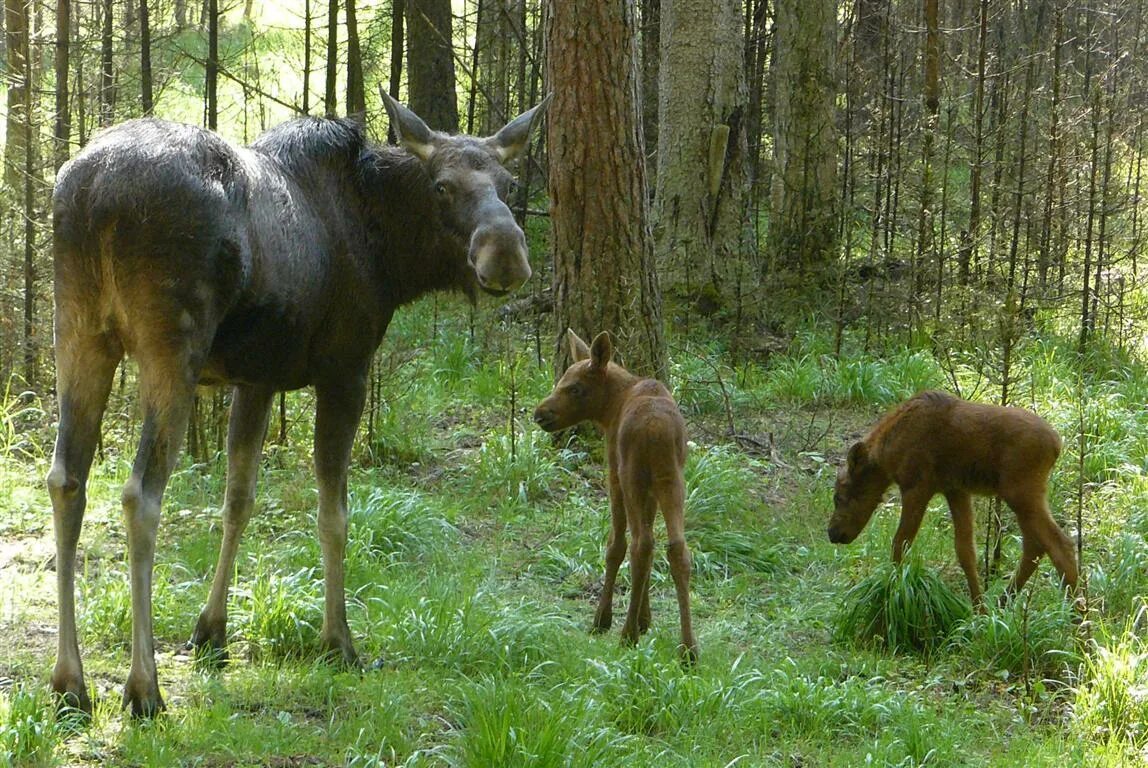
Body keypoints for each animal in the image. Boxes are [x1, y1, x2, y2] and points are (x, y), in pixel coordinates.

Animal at [52, 91, 551, 720]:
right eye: (442, 186)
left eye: (509, 183)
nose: (505, 255)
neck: (390, 255)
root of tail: (94, 194)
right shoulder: (346, 370)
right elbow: (334, 515)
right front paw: (338, 639)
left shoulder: (256, 379)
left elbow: (237, 501)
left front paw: (211, 630)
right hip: (171, 347)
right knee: (141, 493)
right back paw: (144, 688)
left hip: (79, 334)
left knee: (66, 479)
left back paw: (69, 681)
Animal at [534, 330, 697, 661]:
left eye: (574, 388)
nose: (539, 414)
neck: (610, 410)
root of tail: (656, 431)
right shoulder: (653, 489)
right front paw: (645, 619)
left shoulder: (614, 472)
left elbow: (614, 545)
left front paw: (605, 619)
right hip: (672, 481)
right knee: (676, 547)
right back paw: (688, 649)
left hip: (631, 475)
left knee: (640, 544)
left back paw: (626, 635)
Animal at [826, 390, 1074, 606]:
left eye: (839, 496)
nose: (832, 533)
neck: (887, 456)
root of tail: (1057, 445)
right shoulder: (956, 490)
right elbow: (965, 551)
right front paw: (978, 610)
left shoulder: (917, 486)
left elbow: (900, 543)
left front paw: (892, 588)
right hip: (1023, 495)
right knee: (1035, 546)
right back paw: (1003, 603)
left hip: (1021, 491)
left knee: (1060, 545)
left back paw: (1076, 619)